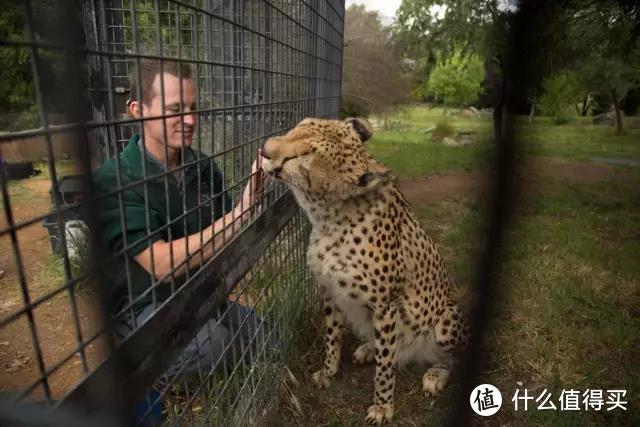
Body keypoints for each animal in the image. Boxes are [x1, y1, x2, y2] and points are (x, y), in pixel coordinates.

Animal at [260, 117, 470, 424]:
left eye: (305, 156)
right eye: (300, 126)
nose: (264, 149)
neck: (330, 218)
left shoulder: (386, 306)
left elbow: (384, 367)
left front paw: (383, 407)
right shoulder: (331, 291)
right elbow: (332, 336)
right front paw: (329, 372)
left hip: (446, 320)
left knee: (451, 359)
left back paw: (434, 376)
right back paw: (368, 348)